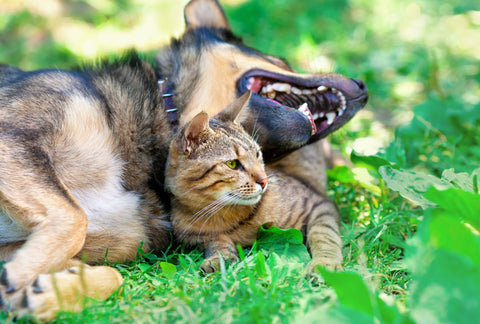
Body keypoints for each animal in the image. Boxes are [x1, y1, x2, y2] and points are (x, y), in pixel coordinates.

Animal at [167, 92, 344, 274]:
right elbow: (218, 243)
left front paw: (324, 264)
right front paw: (218, 259)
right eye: (232, 164)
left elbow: (324, 236)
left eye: (257, 154)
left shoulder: (318, 206)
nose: (264, 180)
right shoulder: (199, 237)